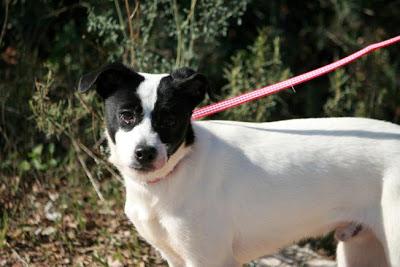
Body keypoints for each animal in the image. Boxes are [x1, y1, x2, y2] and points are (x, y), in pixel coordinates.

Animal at [78, 62, 400, 266]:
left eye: (170, 119)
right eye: (126, 115)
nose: (144, 153)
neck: (170, 181)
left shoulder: (210, 260)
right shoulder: (175, 257)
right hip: (361, 249)